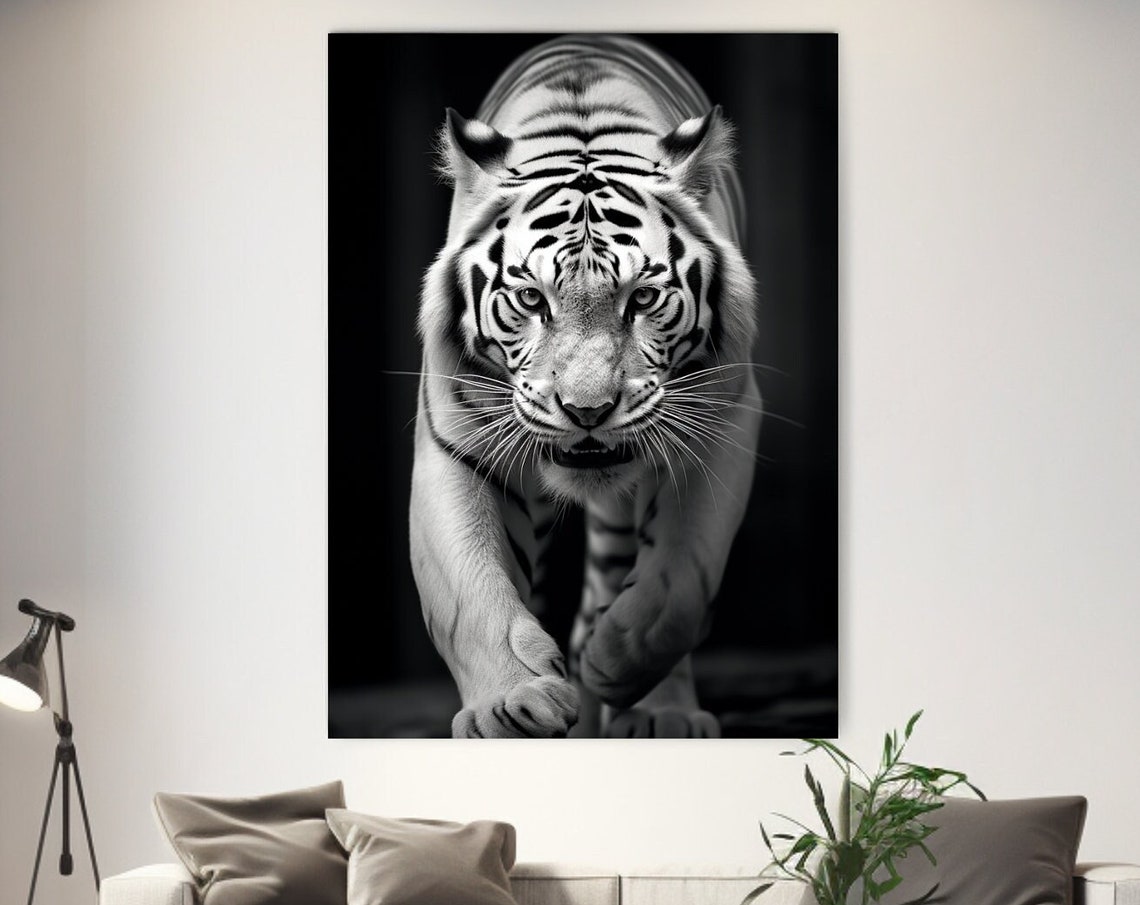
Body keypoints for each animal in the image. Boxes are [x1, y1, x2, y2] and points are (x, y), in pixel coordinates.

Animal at [410, 34, 761, 738]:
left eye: (643, 297)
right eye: (530, 298)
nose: (587, 411)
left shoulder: (724, 427)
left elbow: (681, 579)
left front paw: (615, 664)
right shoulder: (454, 442)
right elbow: (469, 590)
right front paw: (510, 705)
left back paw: (655, 712)